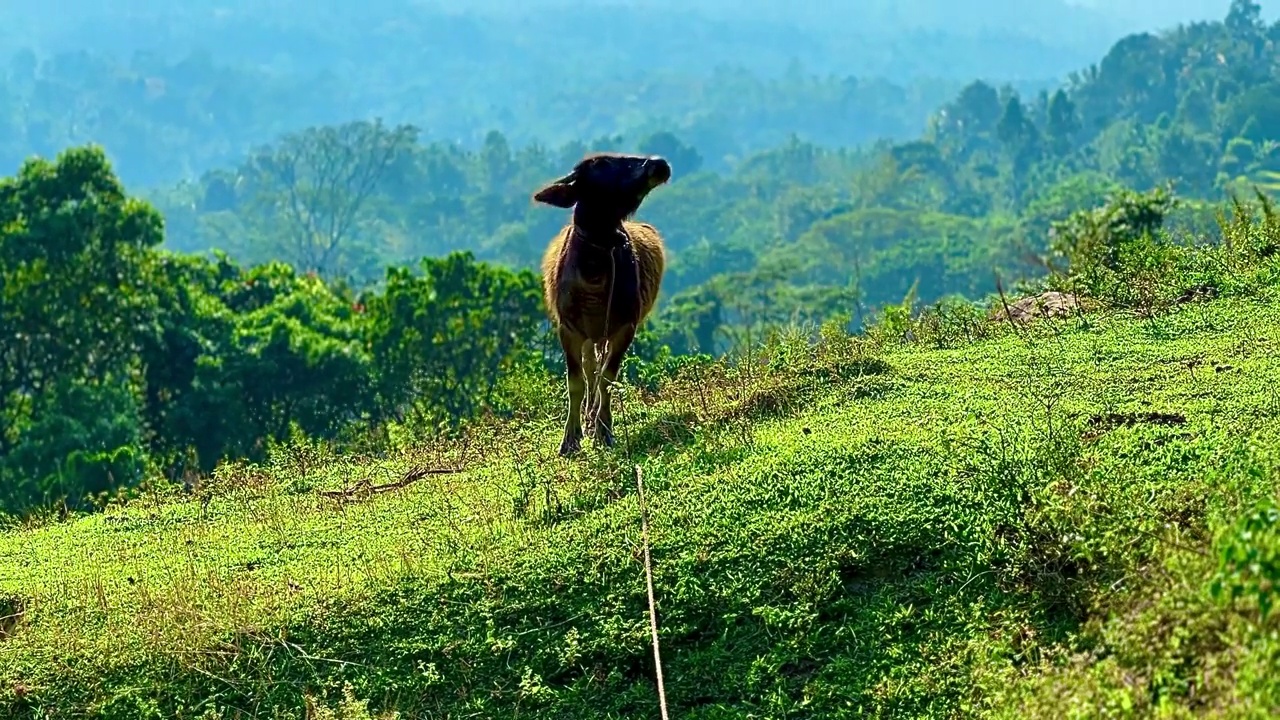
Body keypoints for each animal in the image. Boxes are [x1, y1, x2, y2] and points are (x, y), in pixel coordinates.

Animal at [529, 151, 675, 453]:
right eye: (602, 164)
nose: (658, 163)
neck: (593, 277)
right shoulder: (568, 329)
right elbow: (575, 381)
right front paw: (571, 438)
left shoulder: (625, 327)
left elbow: (607, 377)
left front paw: (603, 430)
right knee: (589, 367)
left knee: (598, 370)